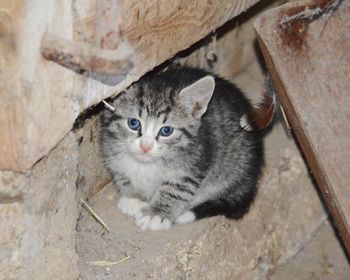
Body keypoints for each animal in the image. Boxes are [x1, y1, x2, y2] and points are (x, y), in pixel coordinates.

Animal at [100, 66, 264, 231]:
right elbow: (121, 172)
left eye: (166, 131)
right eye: (133, 123)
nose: (145, 146)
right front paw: (133, 197)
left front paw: (156, 214)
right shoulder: (109, 149)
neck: (147, 163)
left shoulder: (197, 159)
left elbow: (177, 188)